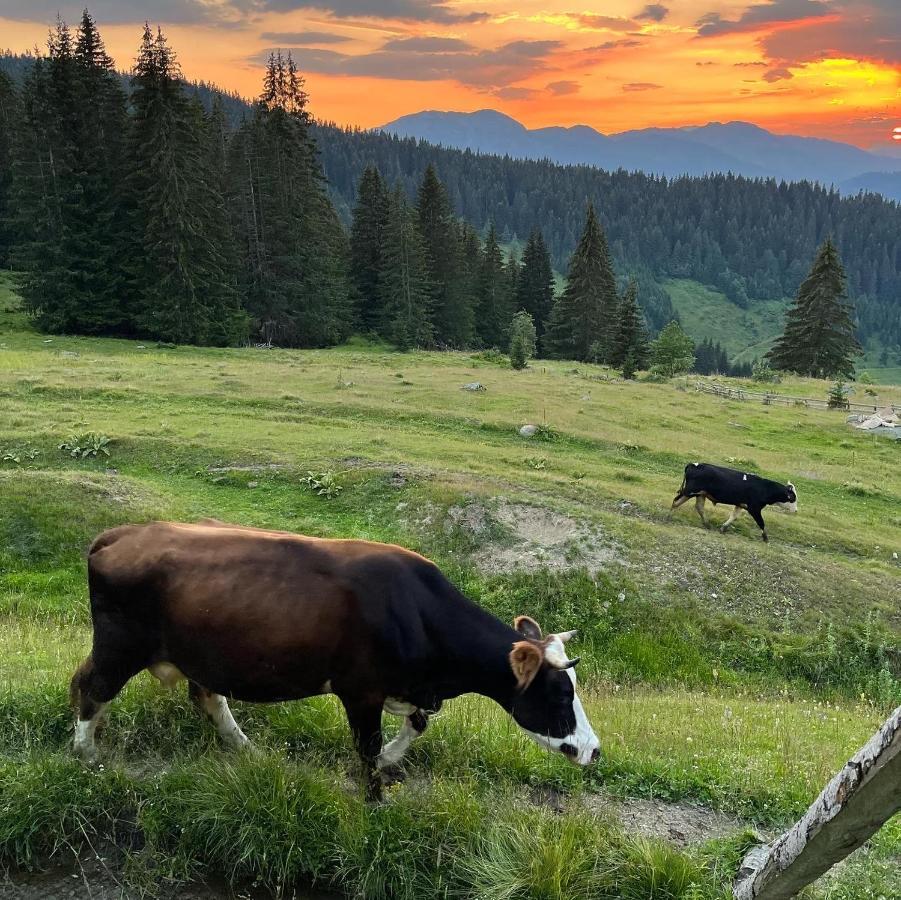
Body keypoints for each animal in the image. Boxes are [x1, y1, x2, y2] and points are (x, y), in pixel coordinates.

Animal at [70, 524, 596, 800]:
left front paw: (390, 762)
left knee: (205, 696)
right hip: (120, 647)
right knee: (92, 689)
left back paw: (247, 750)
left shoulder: (405, 688)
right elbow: (366, 748)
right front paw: (376, 798)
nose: (594, 750)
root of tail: (121, 533)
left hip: (192, 654)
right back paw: (86, 755)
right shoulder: (361, 690)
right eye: (559, 692)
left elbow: (418, 725)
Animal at [672, 464, 800, 540]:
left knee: (699, 507)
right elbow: (761, 523)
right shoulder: (754, 508)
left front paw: (723, 528)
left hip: (700, 494)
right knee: (676, 500)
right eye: (793, 498)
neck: (764, 488)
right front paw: (765, 538)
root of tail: (694, 465)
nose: (796, 510)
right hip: (690, 491)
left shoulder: (740, 504)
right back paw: (670, 515)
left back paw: (707, 524)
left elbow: (734, 516)